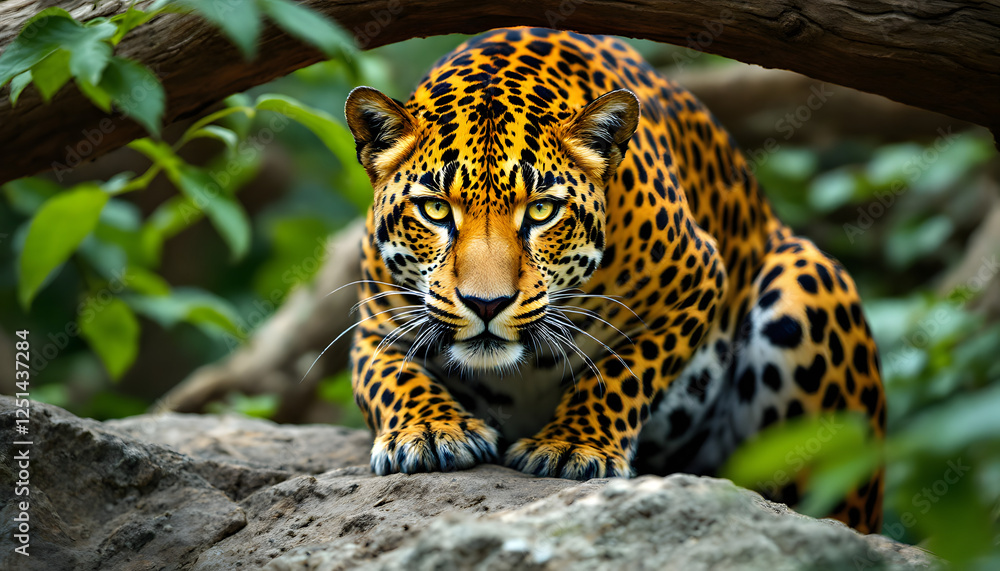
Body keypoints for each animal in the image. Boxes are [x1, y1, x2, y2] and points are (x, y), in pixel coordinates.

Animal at [343, 27, 886, 533]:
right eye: (435, 210)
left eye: (542, 211)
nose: (486, 304)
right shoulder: (376, 327)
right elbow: (390, 377)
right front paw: (430, 430)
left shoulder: (697, 279)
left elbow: (624, 371)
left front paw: (571, 445)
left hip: (809, 282)